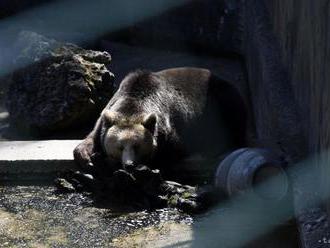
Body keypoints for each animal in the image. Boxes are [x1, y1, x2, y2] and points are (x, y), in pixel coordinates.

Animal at [74, 67, 245, 177]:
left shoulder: (170, 126)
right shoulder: (107, 114)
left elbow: (171, 151)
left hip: (220, 100)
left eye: (137, 146)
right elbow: (92, 137)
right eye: (120, 147)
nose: (129, 165)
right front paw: (88, 158)